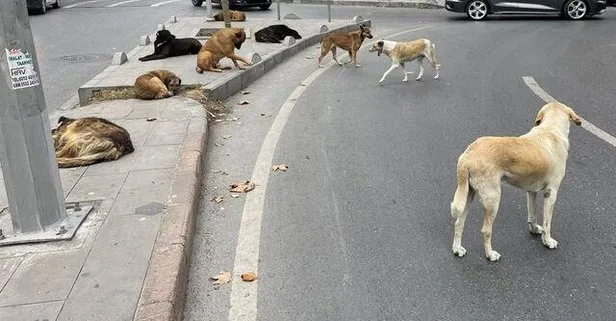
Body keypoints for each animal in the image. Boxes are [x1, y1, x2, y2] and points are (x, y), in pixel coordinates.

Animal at [450, 101, 580, 262]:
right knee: (485, 230)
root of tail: (468, 155)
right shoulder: (551, 193)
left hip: (468, 195)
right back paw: (490, 255)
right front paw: (548, 241)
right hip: (493, 200)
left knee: (458, 223)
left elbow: (533, 214)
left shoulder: (531, 191)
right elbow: (547, 223)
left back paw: (457, 249)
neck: (550, 130)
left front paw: (534, 229)